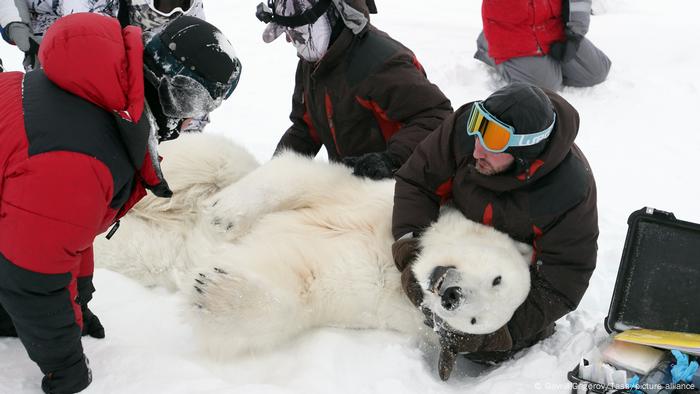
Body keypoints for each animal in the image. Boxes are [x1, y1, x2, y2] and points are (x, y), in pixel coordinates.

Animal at [93, 133, 532, 360]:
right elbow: (303, 179)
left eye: (476, 320)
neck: (397, 270)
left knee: (137, 247)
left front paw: (214, 289)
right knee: (208, 161)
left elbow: (293, 293)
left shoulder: (359, 298)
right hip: (206, 169)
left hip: (159, 252)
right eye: (496, 278)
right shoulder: (371, 200)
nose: (452, 295)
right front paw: (224, 216)